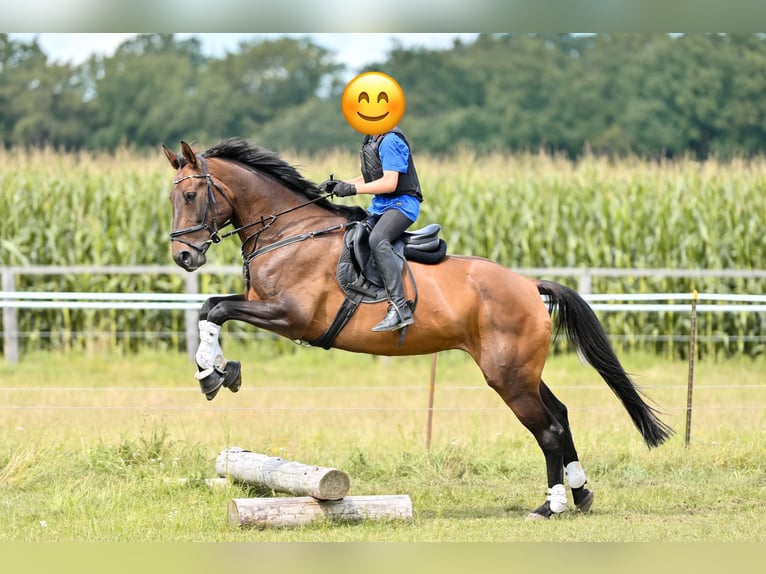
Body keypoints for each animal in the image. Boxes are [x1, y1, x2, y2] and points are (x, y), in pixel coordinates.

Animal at [165, 138, 676, 520]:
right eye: (172, 198)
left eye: (190, 196)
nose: (184, 257)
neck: (289, 233)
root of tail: (530, 287)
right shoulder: (266, 307)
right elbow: (213, 306)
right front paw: (218, 369)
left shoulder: (291, 317)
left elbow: (215, 309)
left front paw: (212, 373)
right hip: (521, 371)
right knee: (562, 415)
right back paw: (581, 492)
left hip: (508, 375)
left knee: (548, 429)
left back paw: (551, 506)